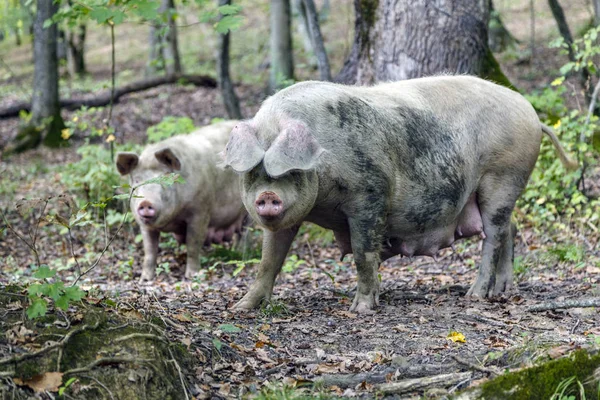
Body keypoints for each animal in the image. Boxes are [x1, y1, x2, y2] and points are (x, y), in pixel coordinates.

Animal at [116, 119, 247, 282]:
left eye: (164, 178)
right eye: (137, 180)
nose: (146, 202)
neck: (173, 219)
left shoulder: (200, 211)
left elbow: (193, 244)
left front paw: (192, 276)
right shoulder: (144, 225)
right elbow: (150, 251)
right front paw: (145, 279)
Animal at [220, 74, 576, 312]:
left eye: (291, 171)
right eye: (251, 173)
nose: (267, 196)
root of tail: (532, 115)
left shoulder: (370, 194)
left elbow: (363, 254)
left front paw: (360, 309)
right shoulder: (290, 219)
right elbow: (269, 259)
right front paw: (241, 308)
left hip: (503, 176)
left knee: (494, 234)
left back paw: (475, 295)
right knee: (509, 229)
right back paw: (501, 290)